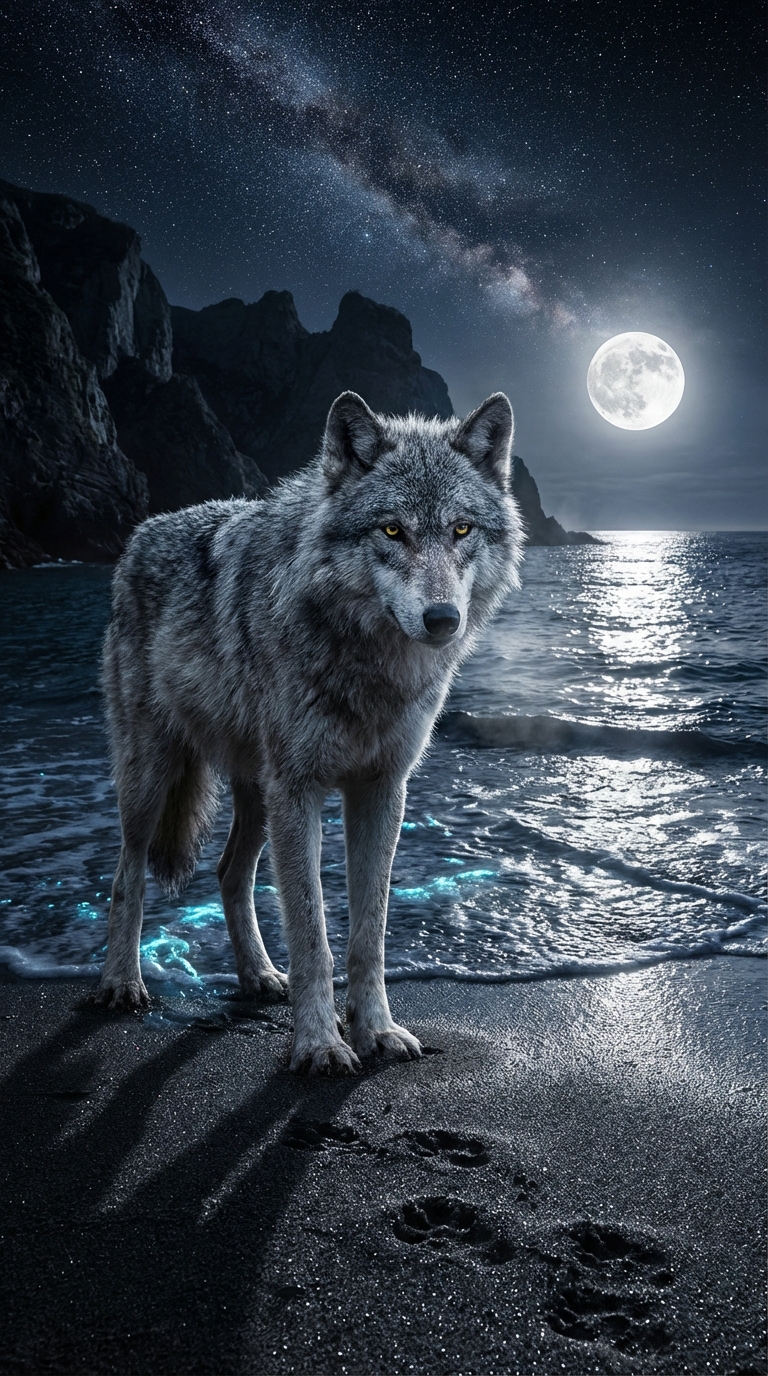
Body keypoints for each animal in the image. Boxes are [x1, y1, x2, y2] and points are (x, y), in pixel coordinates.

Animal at [95, 390, 523, 1073]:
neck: (368, 666)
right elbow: (312, 933)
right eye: (392, 530)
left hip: (255, 794)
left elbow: (368, 935)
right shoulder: (299, 790)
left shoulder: (381, 789)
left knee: (229, 873)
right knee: (125, 875)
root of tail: (141, 533)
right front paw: (320, 1043)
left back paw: (259, 976)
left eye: (461, 530)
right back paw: (121, 982)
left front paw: (376, 1031)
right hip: (155, 778)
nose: (442, 619)